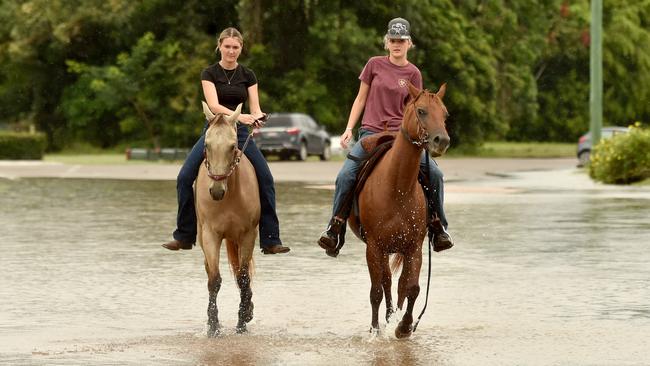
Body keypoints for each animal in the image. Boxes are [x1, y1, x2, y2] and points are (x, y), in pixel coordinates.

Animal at [196, 101, 260, 336]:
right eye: (206, 145)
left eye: (232, 146)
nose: (216, 191)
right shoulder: (210, 235)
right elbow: (214, 279)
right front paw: (213, 326)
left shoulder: (248, 235)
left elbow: (243, 277)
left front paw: (243, 320)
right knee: (209, 271)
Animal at [346, 82, 448, 338]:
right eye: (421, 111)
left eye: (445, 114)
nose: (441, 141)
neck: (397, 187)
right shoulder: (374, 247)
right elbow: (376, 291)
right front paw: (374, 330)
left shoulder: (414, 247)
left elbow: (411, 287)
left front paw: (404, 326)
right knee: (386, 283)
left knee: (397, 284)